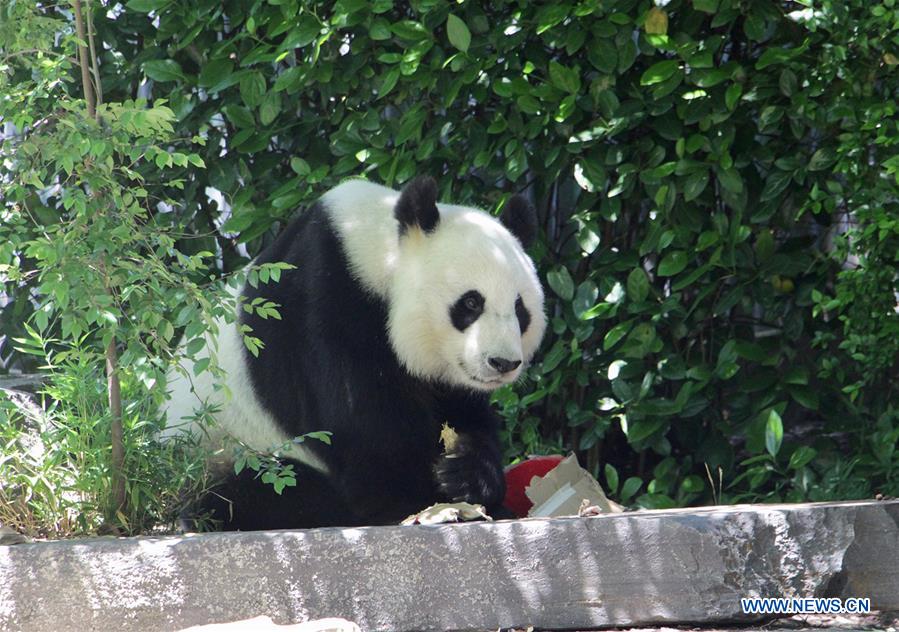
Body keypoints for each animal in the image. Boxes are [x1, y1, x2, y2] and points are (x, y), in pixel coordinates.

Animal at [163, 176, 546, 530]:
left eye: (520, 310)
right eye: (471, 303)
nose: (503, 363)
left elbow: (463, 411)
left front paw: (468, 475)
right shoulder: (324, 304)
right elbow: (363, 428)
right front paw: (420, 498)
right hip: (224, 450)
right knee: (255, 492)